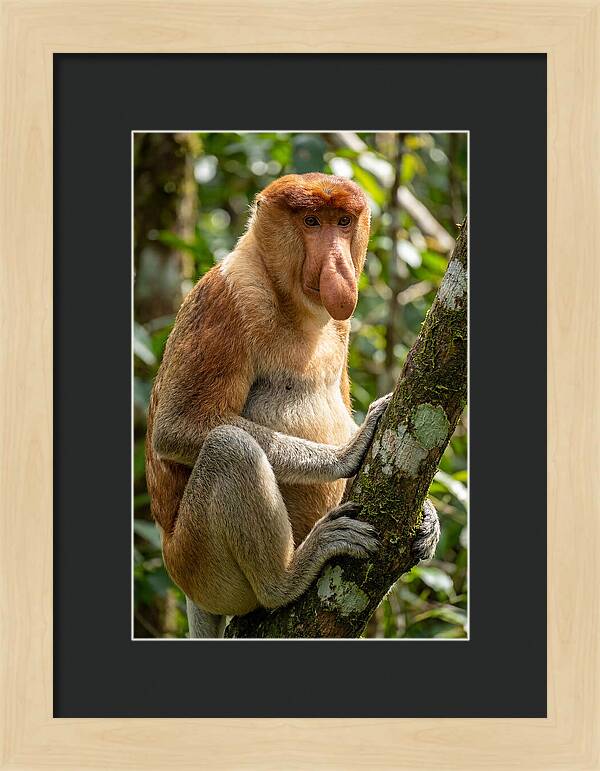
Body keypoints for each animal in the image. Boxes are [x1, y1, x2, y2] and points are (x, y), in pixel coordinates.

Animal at [145, 172, 439, 638]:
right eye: (311, 222)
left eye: (342, 221)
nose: (338, 267)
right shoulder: (228, 299)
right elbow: (177, 426)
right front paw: (348, 451)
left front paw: (429, 516)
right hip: (198, 565)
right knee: (230, 448)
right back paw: (287, 577)